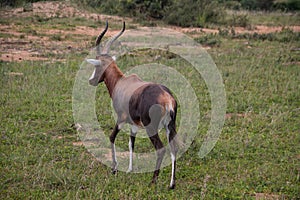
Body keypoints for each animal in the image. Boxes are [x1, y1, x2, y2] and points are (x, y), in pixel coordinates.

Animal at [86, 21, 177, 189]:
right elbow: (131, 143)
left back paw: (153, 181)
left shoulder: (121, 119)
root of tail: (166, 98)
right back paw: (171, 184)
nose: (91, 80)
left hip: (151, 128)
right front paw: (129, 169)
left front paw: (114, 169)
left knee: (161, 149)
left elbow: (111, 137)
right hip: (170, 126)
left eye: (96, 66)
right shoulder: (133, 124)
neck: (122, 82)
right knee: (174, 149)